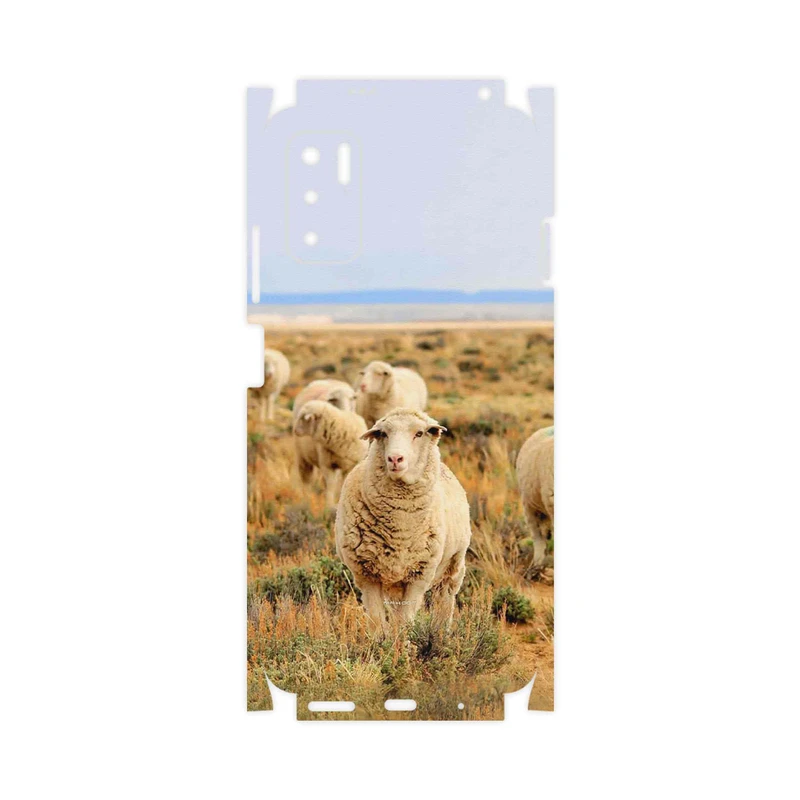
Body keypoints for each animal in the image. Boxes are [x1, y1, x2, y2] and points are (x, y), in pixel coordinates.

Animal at [335, 408, 471, 633]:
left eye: (419, 433)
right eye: (383, 434)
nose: (395, 458)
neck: (400, 527)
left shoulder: (419, 575)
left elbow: (405, 621)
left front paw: (403, 642)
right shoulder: (366, 574)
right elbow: (377, 621)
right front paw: (381, 641)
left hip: (453, 565)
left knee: (445, 599)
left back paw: (441, 633)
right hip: (394, 582)